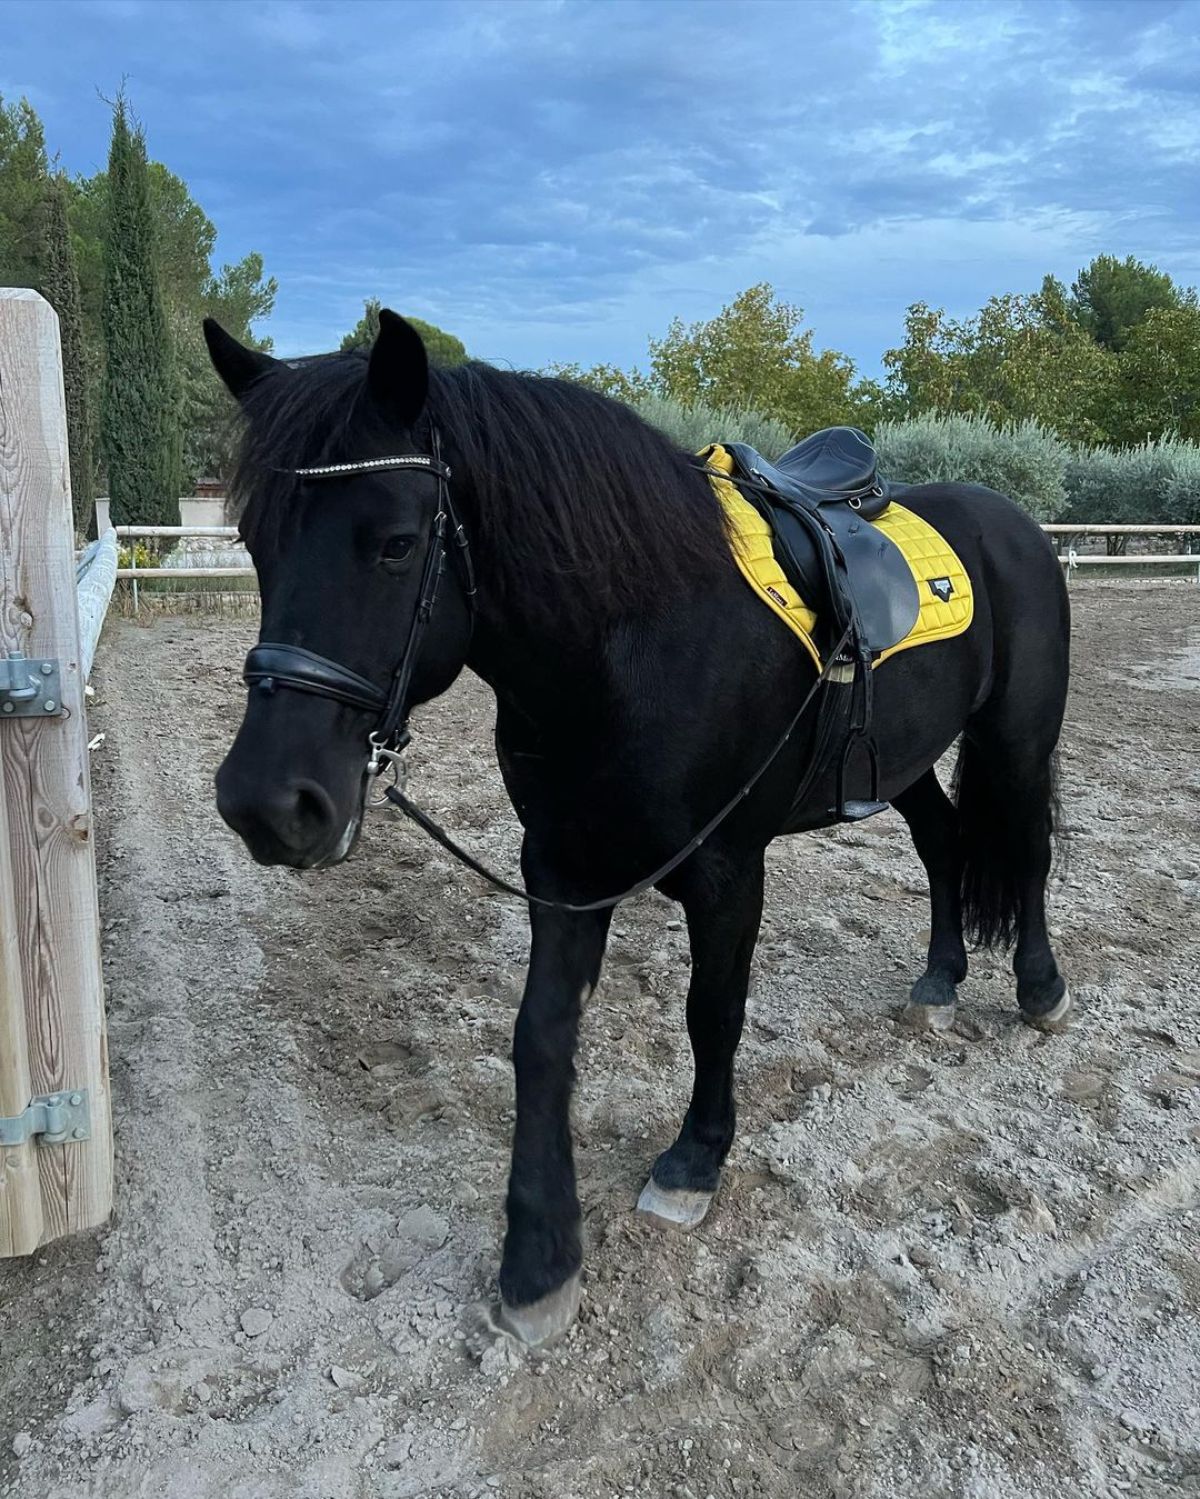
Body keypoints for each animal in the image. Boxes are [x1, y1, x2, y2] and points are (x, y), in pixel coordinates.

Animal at [203, 310, 1066, 1343]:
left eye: (398, 544)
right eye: (253, 542)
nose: (265, 803)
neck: (630, 641)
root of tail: (1012, 519)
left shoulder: (728, 870)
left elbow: (713, 1010)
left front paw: (693, 1162)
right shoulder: (563, 867)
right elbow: (541, 1035)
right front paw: (539, 1256)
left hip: (1018, 738)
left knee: (1029, 852)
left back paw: (1040, 989)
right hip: (900, 761)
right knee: (942, 843)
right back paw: (939, 978)